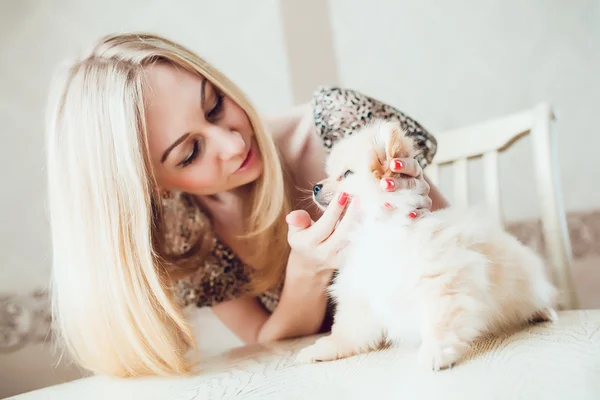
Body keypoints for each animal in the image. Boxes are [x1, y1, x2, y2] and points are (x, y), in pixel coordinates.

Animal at [296, 119, 556, 372]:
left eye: (347, 173)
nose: (316, 187)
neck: (377, 227)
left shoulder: (442, 281)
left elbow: (440, 322)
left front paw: (436, 352)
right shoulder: (362, 291)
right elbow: (349, 330)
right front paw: (323, 349)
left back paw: (543, 312)